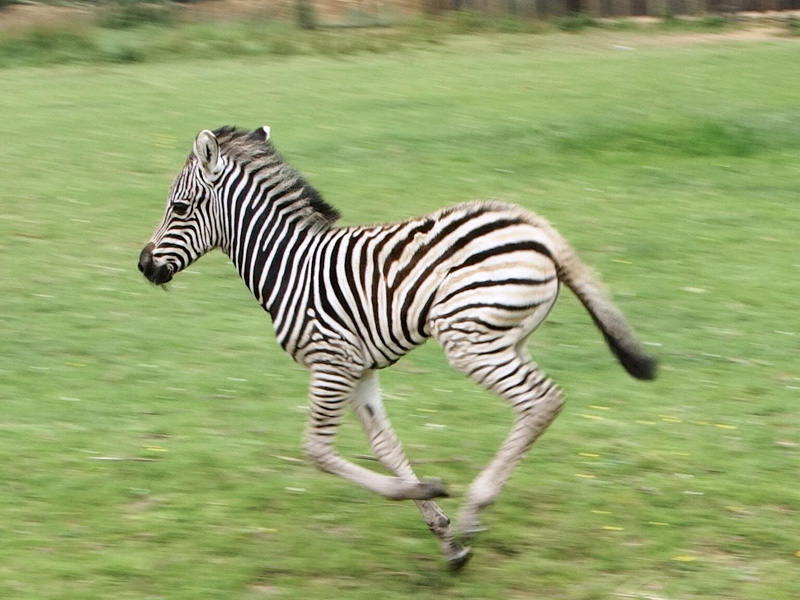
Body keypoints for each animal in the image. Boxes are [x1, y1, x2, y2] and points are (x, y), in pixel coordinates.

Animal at [138, 126, 656, 569]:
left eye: (179, 208)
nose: (144, 266)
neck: (289, 265)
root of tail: (535, 225)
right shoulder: (360, 368)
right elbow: (386, 447)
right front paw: (444, 537)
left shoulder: (331, 363)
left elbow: (317, 451)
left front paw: (435, 497)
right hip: (503, 335)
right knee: (540, 402)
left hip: (467, 337)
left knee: (542, 400)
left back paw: (475, 507)